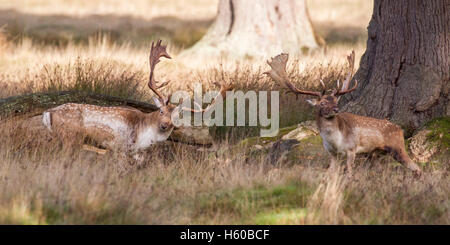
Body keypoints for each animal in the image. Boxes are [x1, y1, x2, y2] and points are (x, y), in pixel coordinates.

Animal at [41, 39, 234, 151]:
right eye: (161, 111)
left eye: (176, 117)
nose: (164, 125)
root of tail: (48, 113)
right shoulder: (120, 146)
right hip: (70, 137)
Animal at [264, 51, 422, 177]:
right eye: (322, 103)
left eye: (335, 100)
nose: (336, 109)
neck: (335, 141)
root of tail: (400, 129)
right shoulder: (331, 153)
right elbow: (330, 172)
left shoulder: (352, 149)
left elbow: (349, 171)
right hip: (375, 154)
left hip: (398, 146)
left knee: (417, 168)